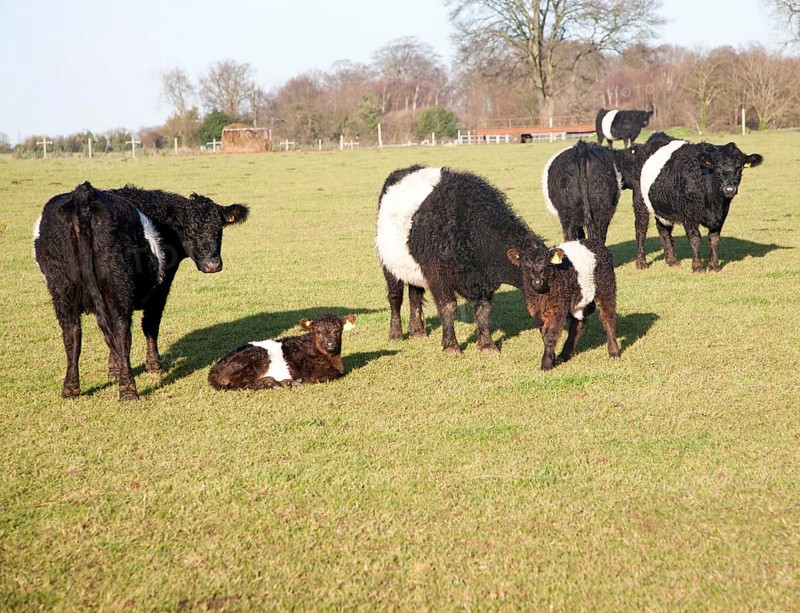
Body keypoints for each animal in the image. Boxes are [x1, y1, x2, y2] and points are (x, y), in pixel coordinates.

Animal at [33, 182, 249, 400]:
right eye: (189, 229)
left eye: (219, 229)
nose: (213, 265)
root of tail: (84, 195)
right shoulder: (161, 288)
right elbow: (150, 325)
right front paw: (154, 365)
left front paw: (114, 370)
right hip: (118, 287)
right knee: (122, 332)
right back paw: (128, 390)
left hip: (61, 289)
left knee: (72, 334)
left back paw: (71, 389)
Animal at [208, 314, 356, 390]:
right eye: (318, 331)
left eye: (338, 330)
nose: (330, 344)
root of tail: (214, 368)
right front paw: (297, 381)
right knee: (239, 384)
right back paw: (277, 382)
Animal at [375, 165, 543, 354]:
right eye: (532, 273)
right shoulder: (438, 274)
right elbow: (448, 306)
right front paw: (451, 346)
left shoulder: (483, 281)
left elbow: (483, 310)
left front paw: (487, 345)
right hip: (389, 264)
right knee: (395, 297)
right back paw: (395, 334)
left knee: (415, 296)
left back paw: (417, 331)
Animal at [507, 239, 620, 370]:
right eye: (526, 266)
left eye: (547, 265)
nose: (537, 281)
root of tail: (595, 242)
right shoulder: (537, 312)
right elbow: (543, 335)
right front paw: (552, 358)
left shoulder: (557, 309)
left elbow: (549, 336)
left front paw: (546, 364)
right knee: (577, 325)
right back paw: (563, 355)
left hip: (606, 287)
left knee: (607, 317)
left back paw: (614, 352)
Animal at [635, 140, 763, 271]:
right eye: (717, 167)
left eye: (740, 167)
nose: (729, 189)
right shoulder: (689, 215)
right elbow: (695, 238)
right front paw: (698, 266)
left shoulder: (722, 214)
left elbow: (714, 239)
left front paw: (714, 265)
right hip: (640, 201)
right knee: (641, 230)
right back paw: (641, 262)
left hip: (662, 207)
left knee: (664, 230)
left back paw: (672, 260)